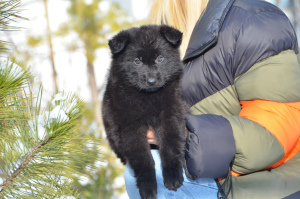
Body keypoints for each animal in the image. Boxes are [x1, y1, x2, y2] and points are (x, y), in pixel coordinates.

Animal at [102, 25, 186, 199]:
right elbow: (143, 159)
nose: (152, 81)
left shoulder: (171, 112)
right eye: (137, 61)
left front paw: (173, 176)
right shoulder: (128, 126)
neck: (148, 97)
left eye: (160, 58)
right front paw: (148, 187)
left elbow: (169, 144)